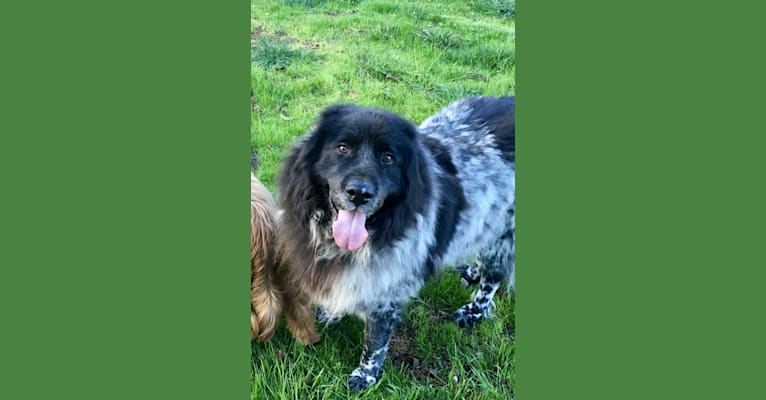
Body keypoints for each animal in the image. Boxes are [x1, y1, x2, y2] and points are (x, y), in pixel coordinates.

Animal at [276, 96, 516, 390]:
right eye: (343, 148)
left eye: (388, 158)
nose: (359, 193)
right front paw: (331, 313)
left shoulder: (386, 290)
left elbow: (375, 341)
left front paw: (366, 376)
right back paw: (471, 272)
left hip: (503, 235)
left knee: (492, 280)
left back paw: (472, 312)